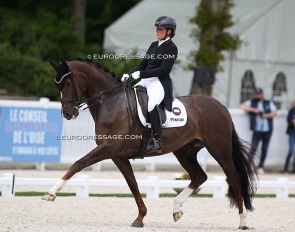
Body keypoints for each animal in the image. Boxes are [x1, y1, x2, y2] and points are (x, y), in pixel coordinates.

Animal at [42, 57, 256, 229]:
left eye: (67, 82)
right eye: (57, 84)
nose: (67, 114)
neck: (112, 103)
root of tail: (222, 107)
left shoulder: (107, 148)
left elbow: (77, 164)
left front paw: (51, 193)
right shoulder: (117, 155)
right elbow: (133, 184)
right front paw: (140, 218)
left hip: (219, 148)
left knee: (234, 178)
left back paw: (243, 222)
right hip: (185, 151)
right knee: (199, 176)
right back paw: (176, 209)